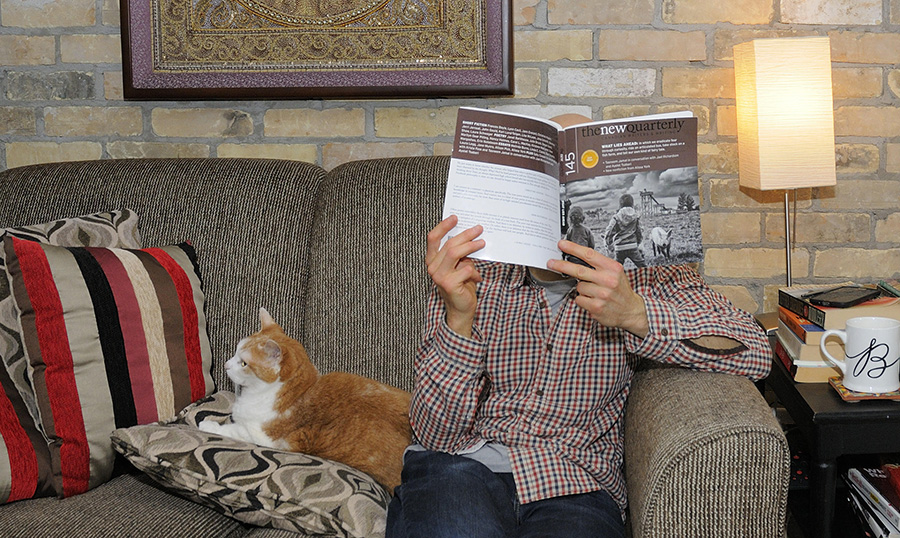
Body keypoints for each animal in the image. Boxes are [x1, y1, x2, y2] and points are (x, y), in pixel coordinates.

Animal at [200, 306, 412, 490]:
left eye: (243, 363)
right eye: (235, 352)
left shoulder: (263, 437)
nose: (226, 365)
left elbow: (233, 429)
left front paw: (208, 425)